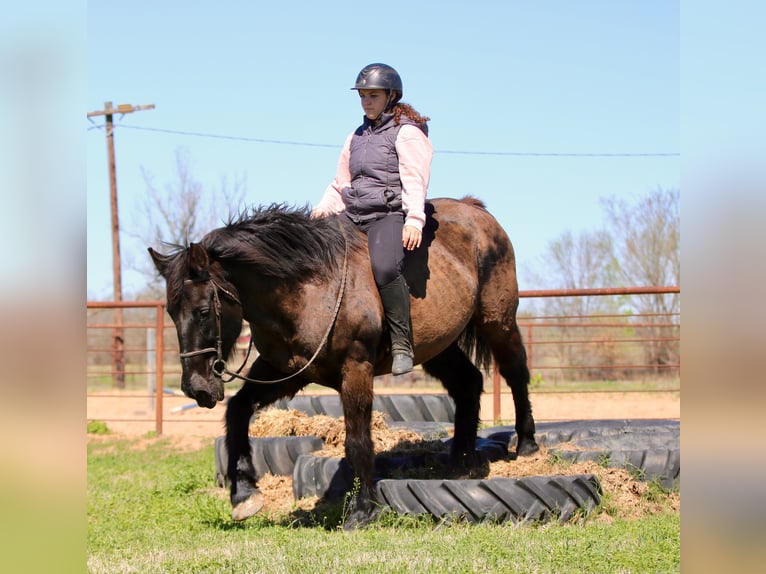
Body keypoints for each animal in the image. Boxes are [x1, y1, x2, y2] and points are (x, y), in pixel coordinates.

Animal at [149, 196, 539, 529]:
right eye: (171, 313)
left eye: (203, 311)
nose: (195, 388)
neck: (309, 287)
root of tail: (476, 211)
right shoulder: (285, 373)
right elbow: (237, 411)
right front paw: (244, 494)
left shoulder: (356, 369)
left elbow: (358, 442)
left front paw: (363, 511)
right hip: (437, 347)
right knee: (468, 384)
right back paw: (461, 463)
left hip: (498, 321)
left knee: (516, 373)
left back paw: (527, 444)